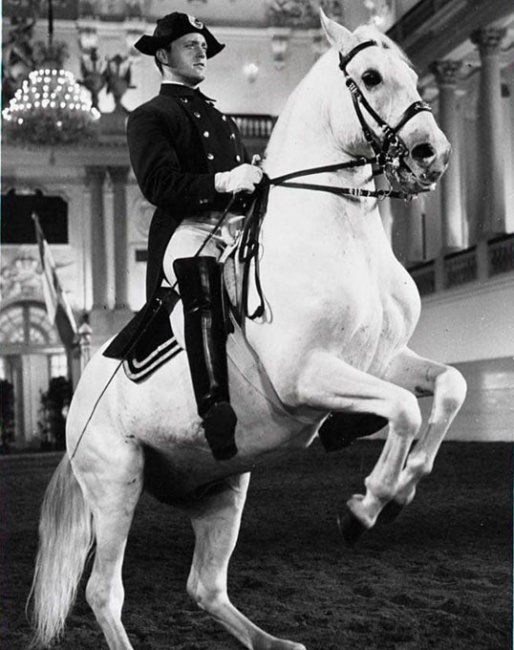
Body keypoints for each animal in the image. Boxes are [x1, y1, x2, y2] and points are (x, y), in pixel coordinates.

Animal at [30, 12, 466, 648]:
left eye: (413, 74)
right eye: (370, 76)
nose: (433, 154)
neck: (341, 237)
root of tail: (76, 409)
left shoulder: (380, 362)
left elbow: (450, 387)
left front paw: (401, 488)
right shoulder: (306, 374)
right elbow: (407, 410)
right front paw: (366, 507)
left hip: (222, 488)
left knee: (205, 586)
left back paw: (275, 641)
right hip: (116, 487)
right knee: (104, 592)